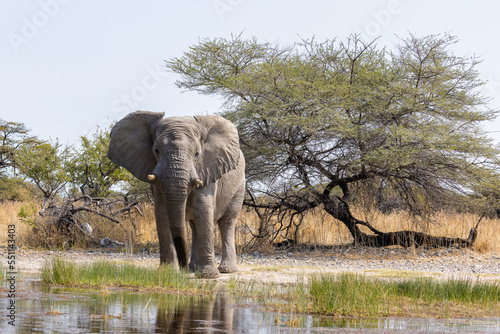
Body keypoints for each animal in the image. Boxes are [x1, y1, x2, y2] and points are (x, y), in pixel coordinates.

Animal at [107, 109, 246, 276]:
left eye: (197, 154)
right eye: (156, 151)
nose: (182, 267)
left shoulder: (207, 169)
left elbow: (203, 211)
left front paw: (208, 275)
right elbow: (162, 214)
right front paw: (167, 271)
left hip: (239, 186)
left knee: (227, 222)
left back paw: (225, 270)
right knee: (194, 226)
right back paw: (194, 268)